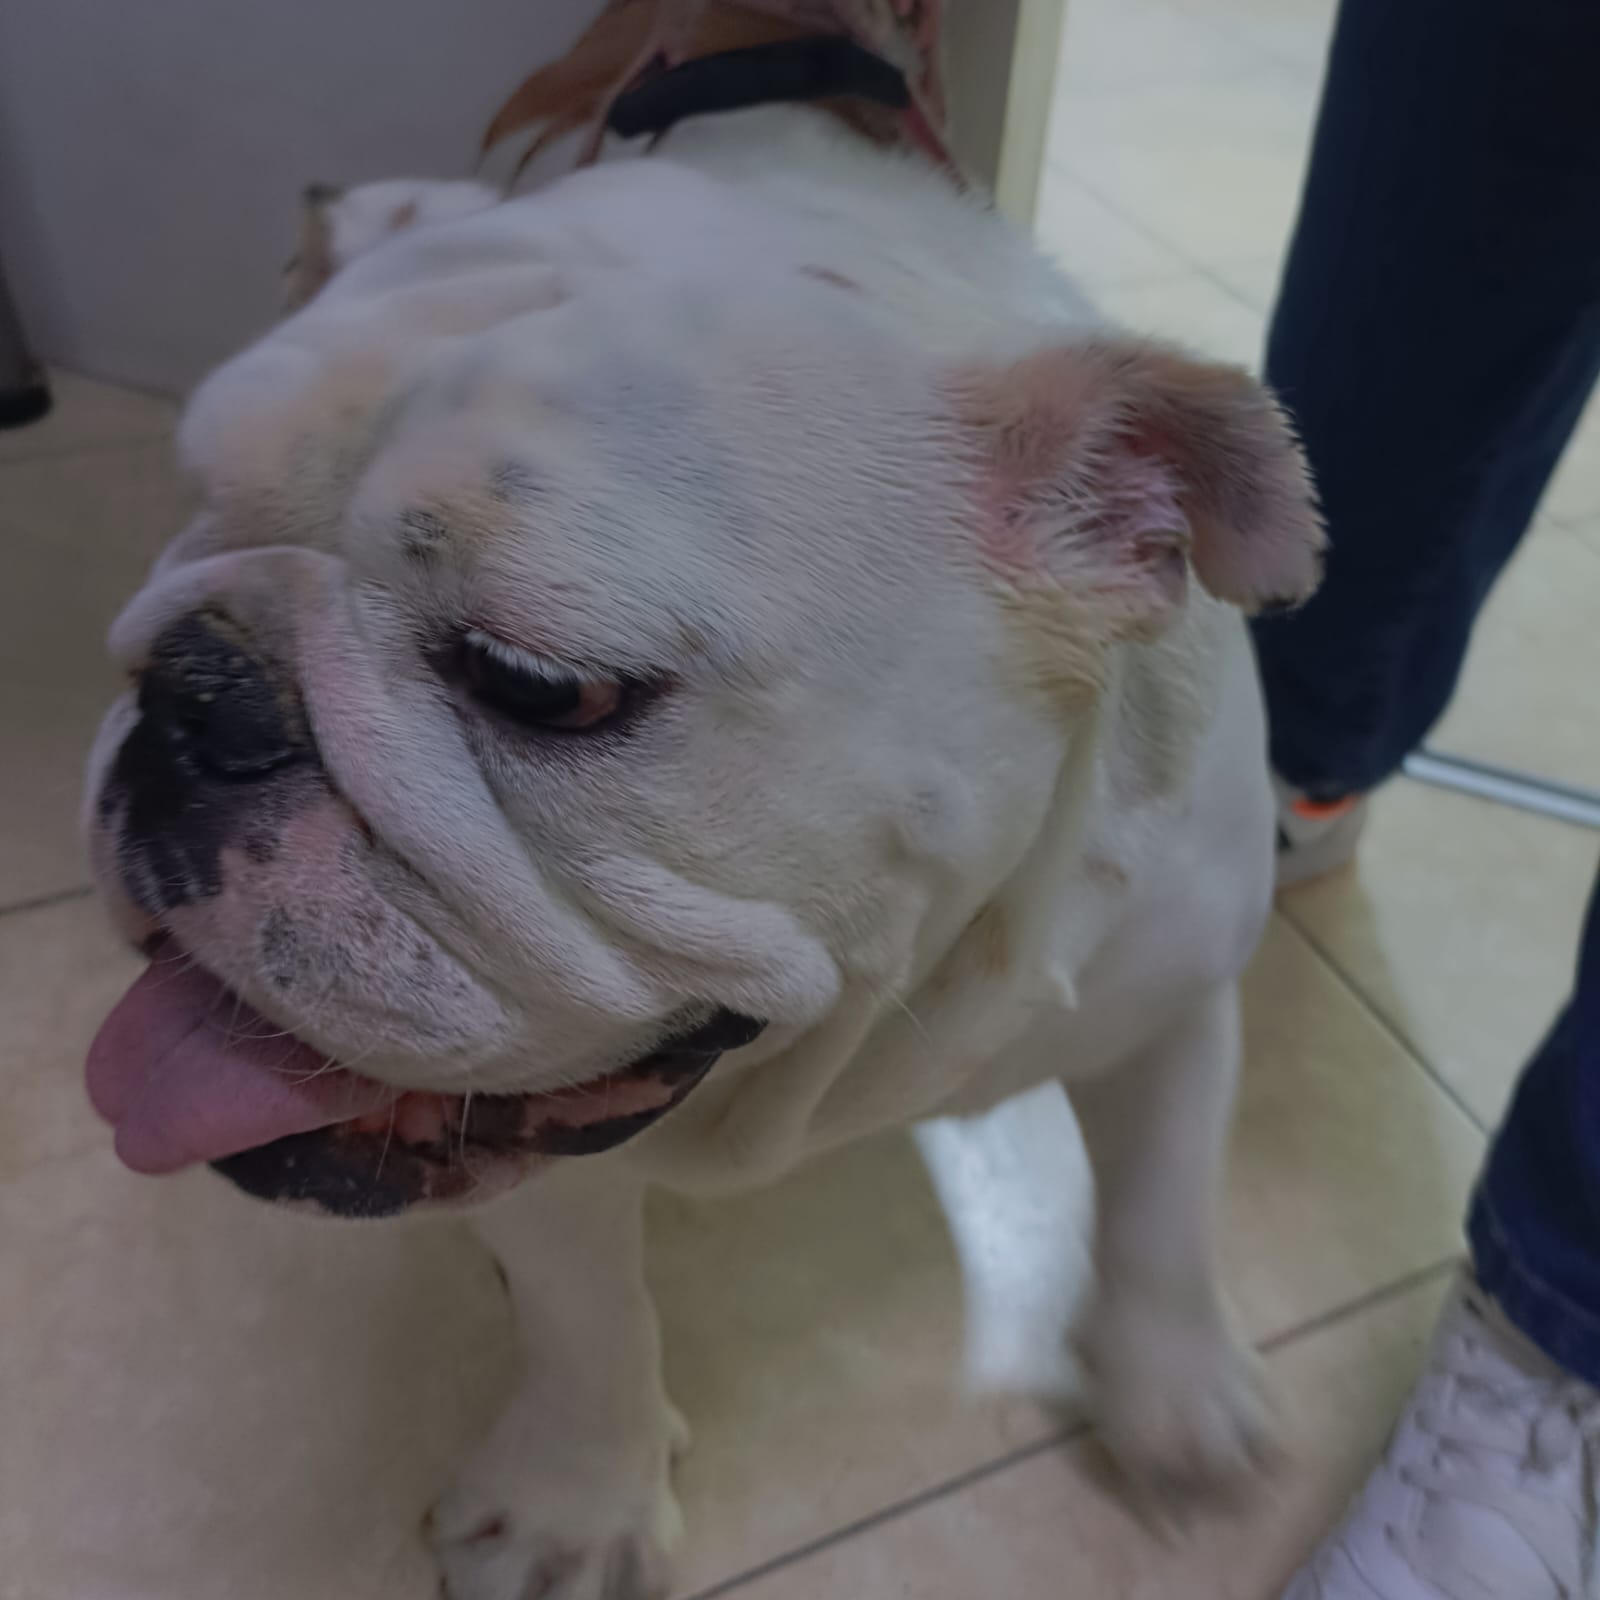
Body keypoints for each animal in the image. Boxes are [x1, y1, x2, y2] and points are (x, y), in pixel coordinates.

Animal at [81, 16, 1322, 1597]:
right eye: (201, 510)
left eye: (539, 685)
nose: (194, 695)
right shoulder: (530, 1130)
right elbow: (588, 1318)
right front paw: (574, 1505)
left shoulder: (1176, 999)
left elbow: (1168, 1201)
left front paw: (1181, 1394)